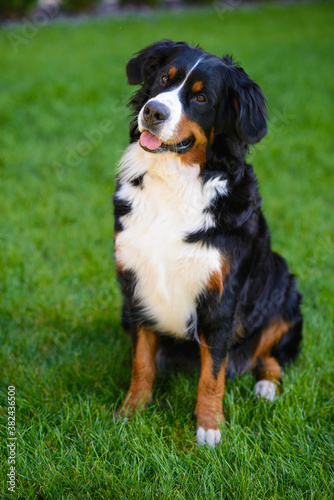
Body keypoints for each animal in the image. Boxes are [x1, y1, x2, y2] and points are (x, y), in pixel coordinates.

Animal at [113, 40, 302, 450]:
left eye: (200, 97)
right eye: (162, 80)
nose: (153, 111)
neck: (174, 180)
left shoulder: (220, 298)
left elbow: (212, 375)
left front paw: (210, 427)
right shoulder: (135, 285)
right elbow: (141, 361)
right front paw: (131, 411)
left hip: (282, 279)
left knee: (272, 355)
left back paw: (266, 387)